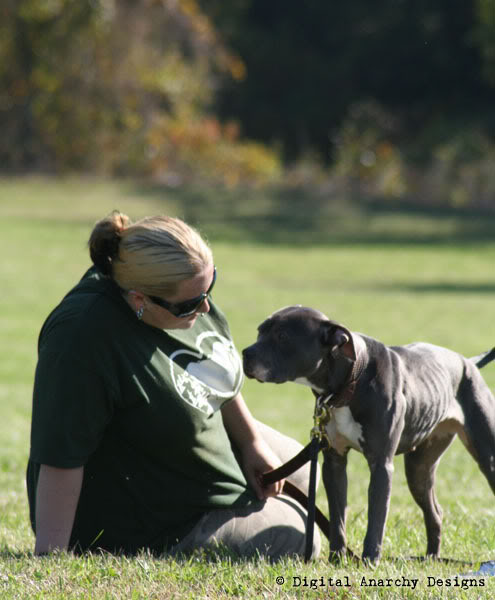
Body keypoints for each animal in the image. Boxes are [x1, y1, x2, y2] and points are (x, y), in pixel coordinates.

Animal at [243, 308, 495, 564]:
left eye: (282, 336)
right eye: (260, 331)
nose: (245, 354)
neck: (351, 381)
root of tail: (467, 362)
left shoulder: (381, 464)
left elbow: (376, 516)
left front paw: (370, 560)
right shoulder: (334, 463)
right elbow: (338, 517)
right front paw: (337, 558)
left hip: (487, 458)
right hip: (419, 470)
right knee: (434, 510)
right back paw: (431, 557)